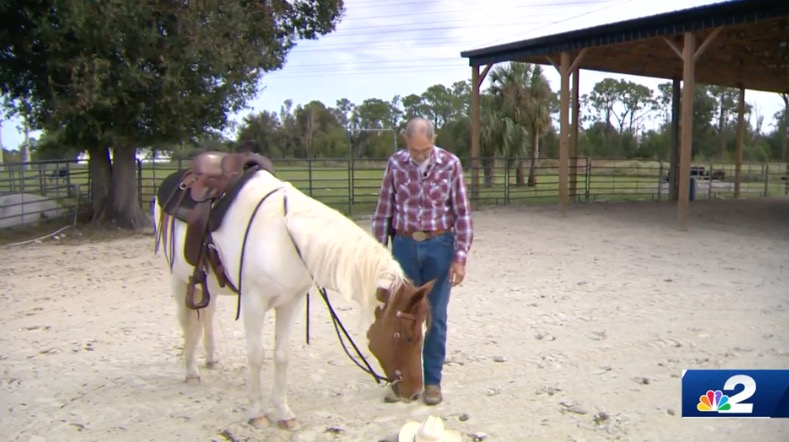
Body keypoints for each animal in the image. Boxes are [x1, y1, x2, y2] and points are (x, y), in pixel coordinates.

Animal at [151, 165, 434, 428]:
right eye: (407, 337)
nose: (414, 393)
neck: (284, 237)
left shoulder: (291, 303)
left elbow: (281, 356)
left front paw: (284, 413)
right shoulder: (253, 304)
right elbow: (256, 356)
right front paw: (257, 413)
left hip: (206, 284)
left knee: (206, 315)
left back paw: (211, 358)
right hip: (178, 278)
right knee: (187, 322)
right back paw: (191, 370)